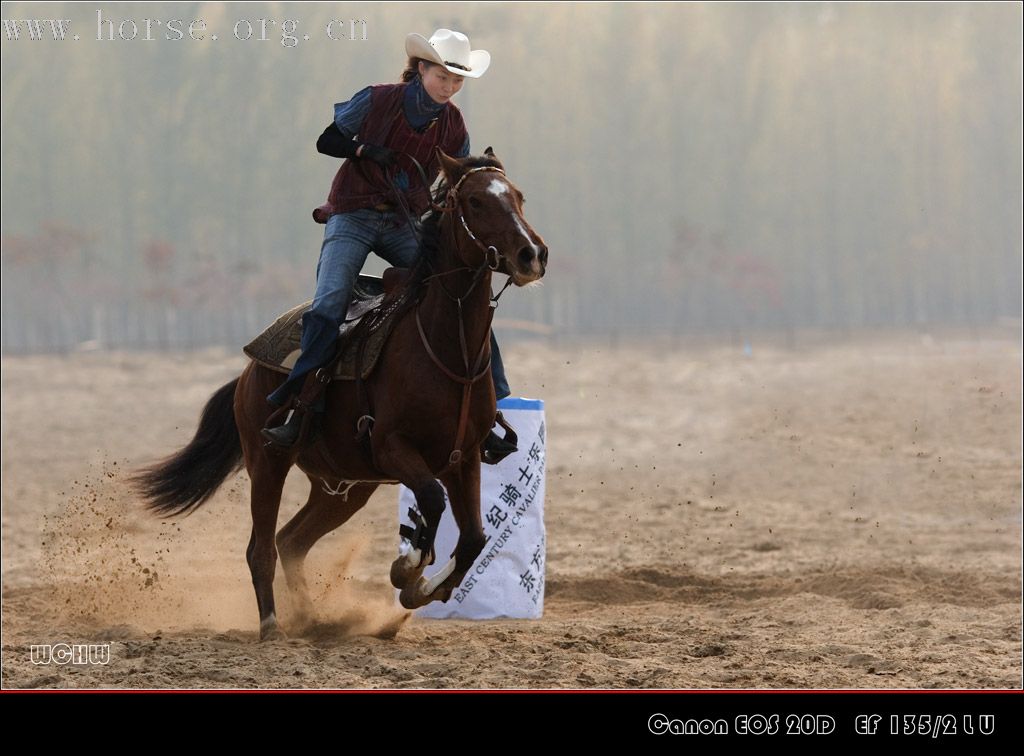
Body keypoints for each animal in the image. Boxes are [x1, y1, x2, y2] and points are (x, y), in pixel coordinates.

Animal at [142, 150, 552, 639]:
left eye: (519, 196)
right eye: (474, 201)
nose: (532, 254)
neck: (441, 345)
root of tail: (249, 369)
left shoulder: (465, 457)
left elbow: (473, 538)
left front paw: (421, 588)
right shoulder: (392, 447)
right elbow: (431, 500)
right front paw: (407, 566)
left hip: (342, 487)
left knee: (290, 541)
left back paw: (313, 619)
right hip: (268, 461)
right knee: (261, 547)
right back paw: (272, 625)